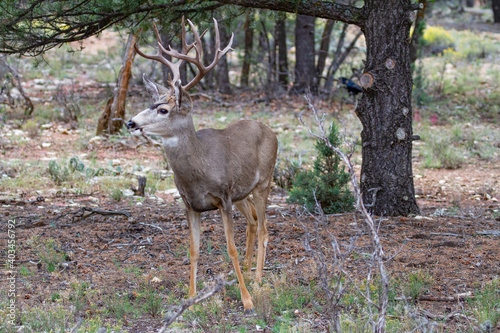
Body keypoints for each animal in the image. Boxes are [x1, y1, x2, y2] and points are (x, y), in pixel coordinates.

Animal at [126, 16, 278, 312]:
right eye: (151, 103)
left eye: (163, 109)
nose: (131, 122)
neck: (198, 172)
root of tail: (271, 131)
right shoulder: (190, 204)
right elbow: (194, 250)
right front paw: (191, 298)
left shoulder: (223, 198)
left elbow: (230, 248)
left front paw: (247, 301)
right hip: (242, 193)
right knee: (253, 222)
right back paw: (244, 272)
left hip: (264, 182)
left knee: (265, 229)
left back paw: (256, 282)